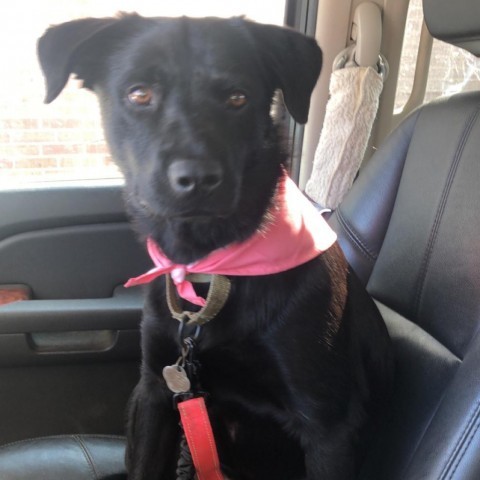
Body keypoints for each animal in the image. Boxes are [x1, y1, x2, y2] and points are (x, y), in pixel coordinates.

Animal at [36, 13, 390, 478]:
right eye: (140, 93)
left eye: (238, 98)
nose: (197, 180)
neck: (209, 269)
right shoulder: (156, 392)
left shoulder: (329, 427)